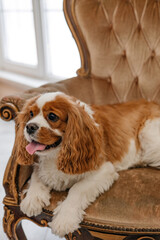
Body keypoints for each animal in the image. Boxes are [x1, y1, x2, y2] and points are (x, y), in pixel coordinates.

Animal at [17, 91, 160, 236]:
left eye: (52, 116)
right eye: (31, 113)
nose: (29, 127)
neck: (56, 154)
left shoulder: (104, 170)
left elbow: (77, 188)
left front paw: (64, 219)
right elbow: (36, 175)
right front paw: (32, 198)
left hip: (148, 136)